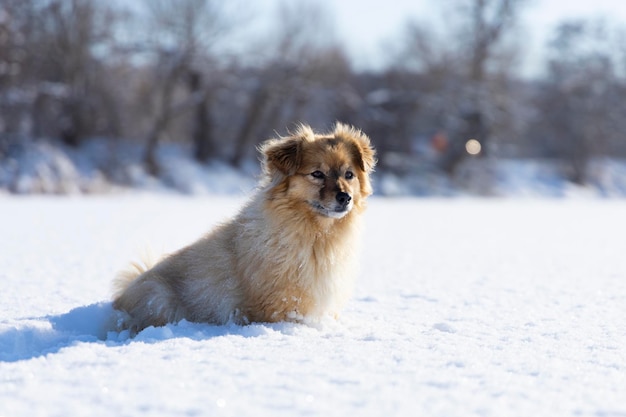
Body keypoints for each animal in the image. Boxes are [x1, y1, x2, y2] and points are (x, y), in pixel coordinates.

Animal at [112, 122, 376, 334]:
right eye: (317, 174)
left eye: (349, 175)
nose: (344, 197)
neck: (318, 234)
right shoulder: (280, 306)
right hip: (160, 298)